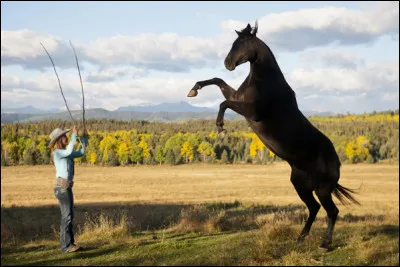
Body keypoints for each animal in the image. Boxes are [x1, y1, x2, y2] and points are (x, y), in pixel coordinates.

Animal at [188, 22, 360, 250]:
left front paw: (221, 129)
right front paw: (193, 90)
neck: (265, 80)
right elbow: (218, 81)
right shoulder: (237, 97)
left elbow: (224, 103)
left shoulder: (251, 111)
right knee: (314, 208)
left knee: (332, 211)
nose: (227, 63)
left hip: (322, 189)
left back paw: (324, 244)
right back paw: (301, 237)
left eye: (242, 43)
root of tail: (337, 161)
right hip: (301, 185)